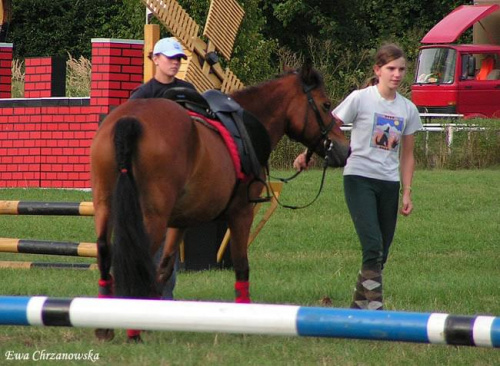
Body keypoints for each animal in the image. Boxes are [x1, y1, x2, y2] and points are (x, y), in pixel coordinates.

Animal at [90, 62, 350, 340]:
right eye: (325, 105)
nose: (345, 149)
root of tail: (130, 120)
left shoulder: (180, 221)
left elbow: (165, 266)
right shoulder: (242, 213)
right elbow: (241, 265)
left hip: (106, 208)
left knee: (106, 253)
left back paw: (106, 326)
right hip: (151, 218)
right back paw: (132, 331)